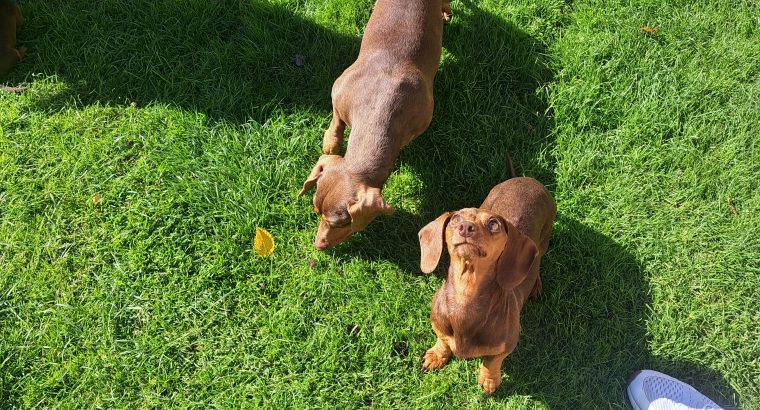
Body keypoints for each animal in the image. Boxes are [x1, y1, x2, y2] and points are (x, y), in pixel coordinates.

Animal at [298, 0, 452, 250]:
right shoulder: (339, 87)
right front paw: (331, 142)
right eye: (316, 211)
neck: (380, 103)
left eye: (341, 223)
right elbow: (336, 121)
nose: (318, 246)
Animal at [418, 176, 556, 394]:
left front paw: (489, 379)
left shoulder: (507, 344)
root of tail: (527, 178)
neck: (465, 297)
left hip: (544, 240)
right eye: (456, 218)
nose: (465, 227)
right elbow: (442, 339)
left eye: (493, 223)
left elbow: (492, 361)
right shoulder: (437, 324)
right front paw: (437, 355)